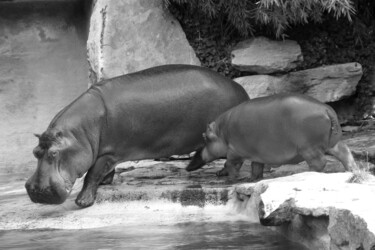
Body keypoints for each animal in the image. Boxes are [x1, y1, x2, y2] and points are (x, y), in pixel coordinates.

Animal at [25, 64, 250, 207]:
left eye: (54, 153)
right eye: (35, 152)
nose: (37, 191)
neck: (78, 133)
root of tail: (242, 90)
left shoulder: (108, 153)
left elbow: (92, 174)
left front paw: (83, 201)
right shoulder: (109, 153)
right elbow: (104, 171)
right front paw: (106, 182)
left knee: (233, 157)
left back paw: (221, 173)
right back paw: (192, 168)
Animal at [187, 94, 360, 182]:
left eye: (204, 137)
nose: (187, 166)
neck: (221, 133)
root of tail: (326, 109)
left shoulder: (235, 151)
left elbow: (230, 164)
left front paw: (234, 178)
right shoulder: (257, 154)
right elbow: (256, 168)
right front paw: (252, 179)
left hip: (309, 148)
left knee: (319, 163)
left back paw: (307, 174)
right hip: (331, 144)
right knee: (345, 152)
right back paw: (353, 171)